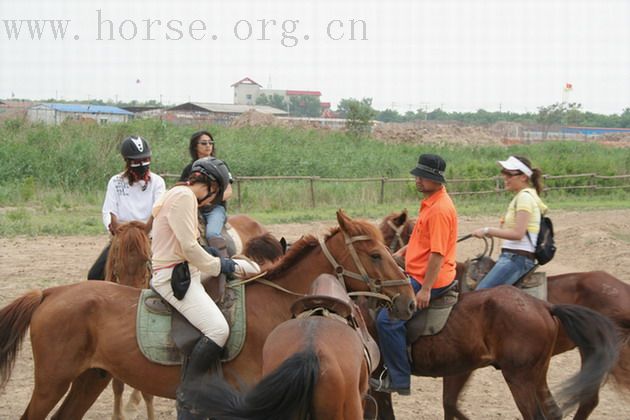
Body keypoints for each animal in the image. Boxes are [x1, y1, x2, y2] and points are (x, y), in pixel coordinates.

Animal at [0, 210, 418, 420]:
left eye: (388, 247)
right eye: (376, 254)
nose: (409, 301)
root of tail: (51, 292)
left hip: (91, 379)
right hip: (52, 383)